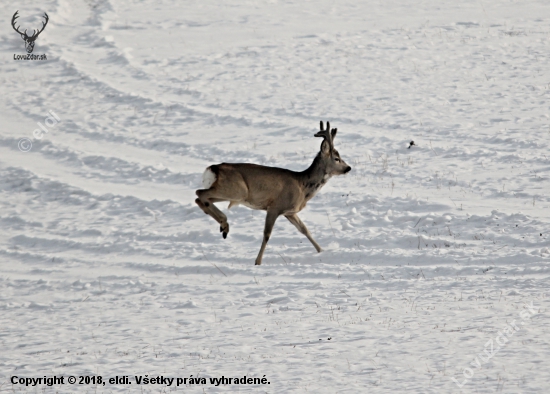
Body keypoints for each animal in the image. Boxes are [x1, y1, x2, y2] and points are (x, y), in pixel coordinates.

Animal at [197, 121, 354, 266]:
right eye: (336, 158)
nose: (348, 168)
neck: (303, 186)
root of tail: (213, 169)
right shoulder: (274, 207)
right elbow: (267, 234)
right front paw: (258, 262)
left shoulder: (289, 212)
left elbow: (304, 229)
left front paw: (322, 250)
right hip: (237, 191)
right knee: (200, 193)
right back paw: (224, 223)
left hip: (229, 192)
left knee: (201, 198)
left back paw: (223, 226)